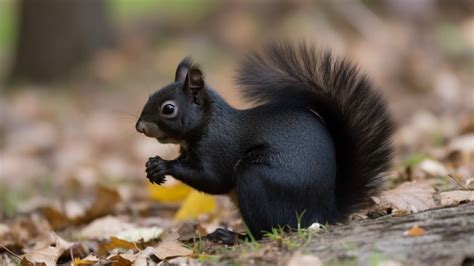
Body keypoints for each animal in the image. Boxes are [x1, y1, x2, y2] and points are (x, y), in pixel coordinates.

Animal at [136, 41, 392, 243]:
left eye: (168, 109)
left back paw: (232, 236)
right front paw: (151, 168)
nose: (140, 127)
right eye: (149, 97)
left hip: (255, 180)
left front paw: (163, 165)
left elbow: (213, 180)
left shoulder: (218, 149)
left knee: (267, 230)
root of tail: (326, 212)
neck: (209, 123)